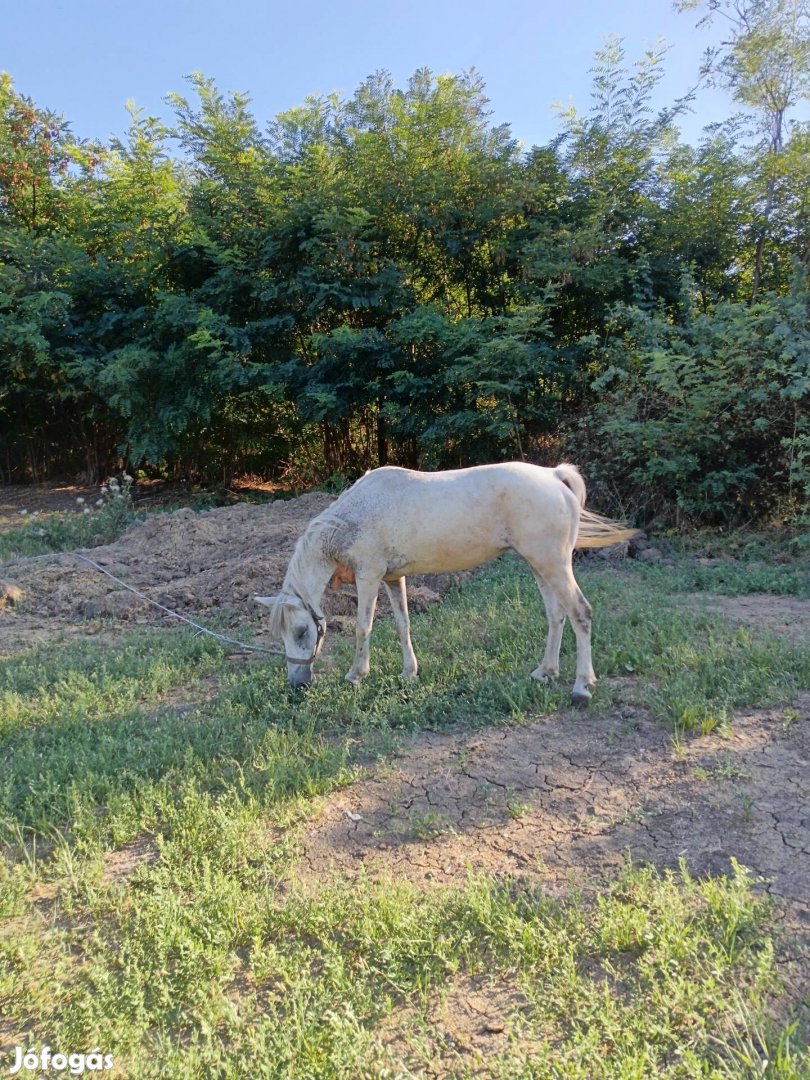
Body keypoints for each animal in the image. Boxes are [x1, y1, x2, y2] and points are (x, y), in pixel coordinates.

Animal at [257, 460, 639, 704]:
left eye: (302, 632)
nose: (298, 686)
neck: (353, 518)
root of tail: (554, 476)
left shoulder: (369, 576)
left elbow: (364, 628)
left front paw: (357, 674)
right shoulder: (393, 578)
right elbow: (403, 624)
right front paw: (409, 673)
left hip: (552, 565)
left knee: (580, 613)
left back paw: (581, 687)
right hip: (540, 566)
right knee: (556, 615)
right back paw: (545, 672)